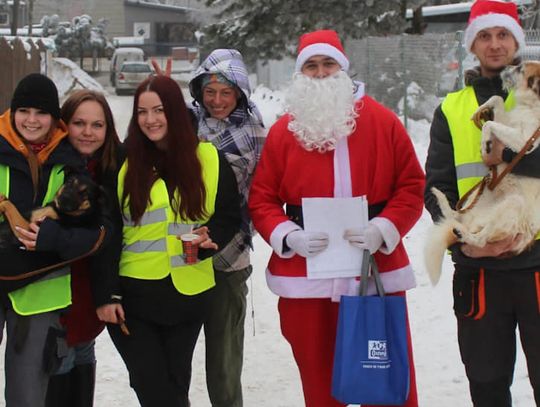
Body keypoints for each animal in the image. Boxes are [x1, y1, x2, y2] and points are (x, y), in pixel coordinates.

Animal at [424, 60, 540, 286]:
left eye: (520, 69)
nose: (504, 69)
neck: (531, 105)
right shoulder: (508, 122)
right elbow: (497, 101)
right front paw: (481, 110)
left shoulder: (524, 142)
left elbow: (490, 124)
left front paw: (486, 142)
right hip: (479, 198)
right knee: (456, 214)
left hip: (512, 205)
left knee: (480, 239)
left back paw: (465, 234)